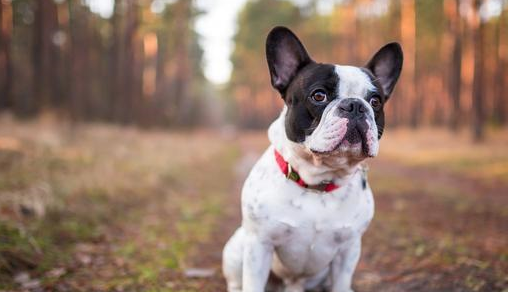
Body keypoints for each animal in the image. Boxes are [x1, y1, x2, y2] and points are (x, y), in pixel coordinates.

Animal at [222, 25, 400, 292]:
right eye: (319, 96)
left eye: (375, 101)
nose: (355, 105)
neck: (318, 181)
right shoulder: (259, 245)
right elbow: (252, 283)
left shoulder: (348, 250)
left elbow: (341, 283)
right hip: (236, 247)